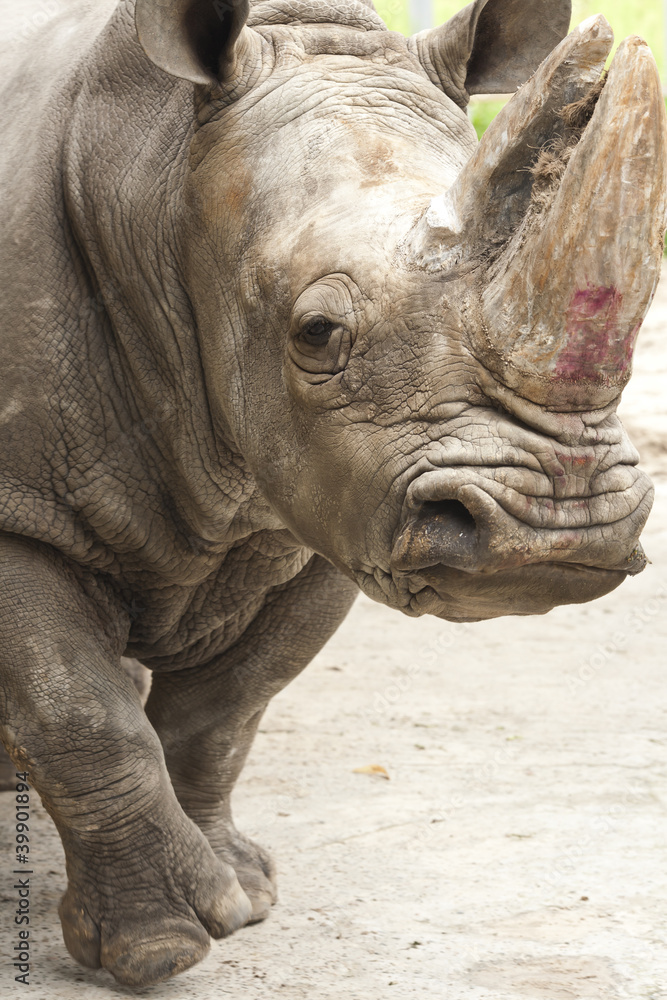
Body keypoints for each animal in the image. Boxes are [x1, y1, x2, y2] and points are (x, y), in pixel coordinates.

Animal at [0, 0, 665, 987]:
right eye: (315, 333)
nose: (552, 533)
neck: (161, 178)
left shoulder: (324, 510)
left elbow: (224, 710)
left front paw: (243, 896)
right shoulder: (21, 509)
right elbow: (81, 712)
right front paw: (157, 947)